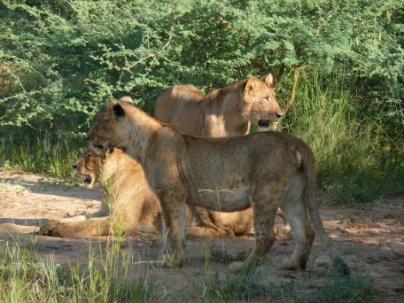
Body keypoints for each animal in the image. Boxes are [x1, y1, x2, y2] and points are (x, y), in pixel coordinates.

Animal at [87, 100, 348, 276]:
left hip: (264, 193)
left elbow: (171, 231)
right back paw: (293, 265)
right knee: (307, 231)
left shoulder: (170, 193)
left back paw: (243, 267)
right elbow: (173, 232)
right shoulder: (175, 197)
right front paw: (170, 259)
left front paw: (170, 262)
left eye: (99, 123)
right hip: (291, 196)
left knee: (268, 235)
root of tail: (295, 141)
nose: (87, 138)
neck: (139, 143)